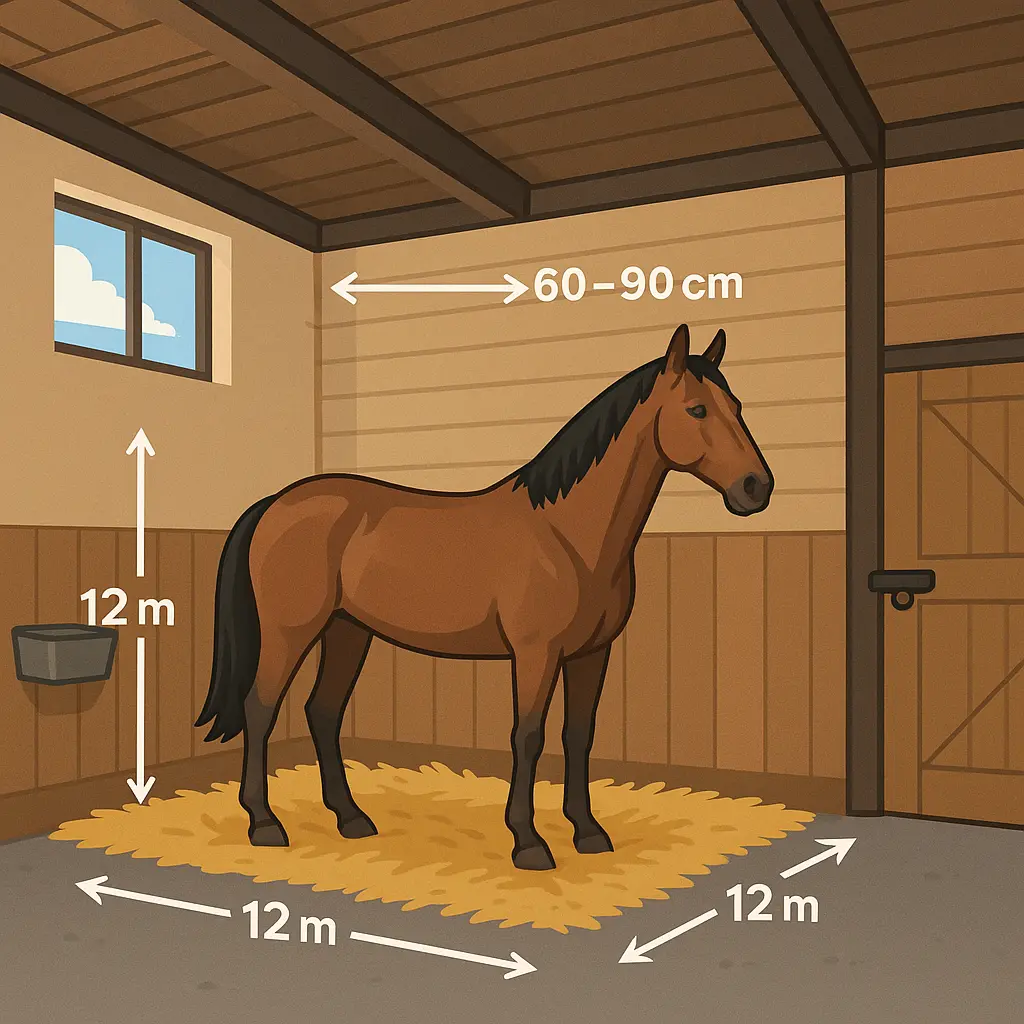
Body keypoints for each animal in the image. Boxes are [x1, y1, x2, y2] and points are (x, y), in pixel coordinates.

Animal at [196, 323, 773, 870]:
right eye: (696, 409)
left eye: (738, 408)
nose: (757, 488)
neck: (566, 532)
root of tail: (277, 501)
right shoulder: (536, 654)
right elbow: (528, 736)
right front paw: (529, 843)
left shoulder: (592, 654)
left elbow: (579, 734)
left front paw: (589, 833)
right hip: (291, 633)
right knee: (260, 708)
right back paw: (265, 824)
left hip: (348, 630)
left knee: (323, 711)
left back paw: (351, 819)